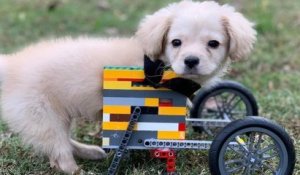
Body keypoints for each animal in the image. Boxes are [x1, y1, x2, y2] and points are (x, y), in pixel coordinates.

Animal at [0, 1, 255, 174]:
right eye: (176, 42)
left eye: (213, 44)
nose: (191, 61)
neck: (159, 65)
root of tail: (11, 64)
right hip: (43, 116)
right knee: (59, 153)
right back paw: (79, 169)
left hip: (56, 117)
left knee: (61, 144)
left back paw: (91, 152)